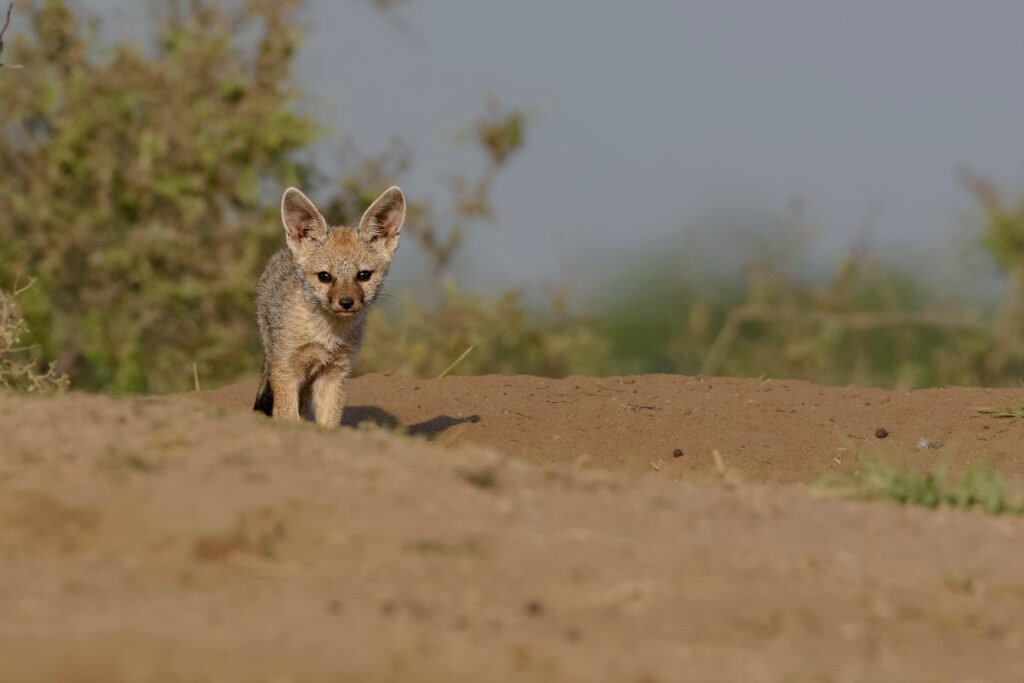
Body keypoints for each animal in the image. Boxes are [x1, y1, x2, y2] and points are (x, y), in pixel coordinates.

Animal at [253, 185, 405, 426]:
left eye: (363, 275)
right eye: (324, 276)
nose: (346, 302)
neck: (326, 334)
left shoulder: (335, 372)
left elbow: (329, 421)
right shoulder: (285, 368)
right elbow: (287, 414)